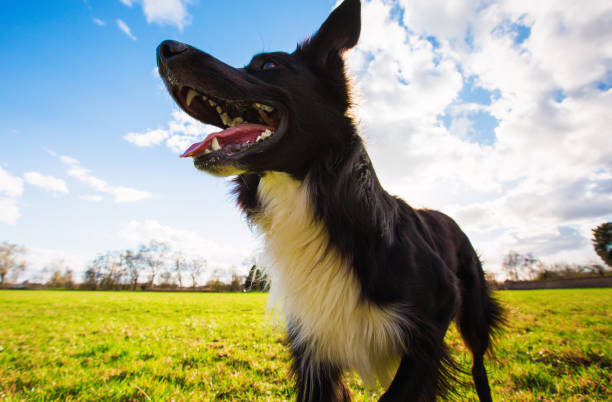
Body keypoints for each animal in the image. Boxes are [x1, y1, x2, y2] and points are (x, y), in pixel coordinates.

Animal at [157, 1, 502, 400]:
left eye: (268, 66)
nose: (163, 48)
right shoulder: (312, 345)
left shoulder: (434, 319)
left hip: (474, 313)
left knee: (479, 367)